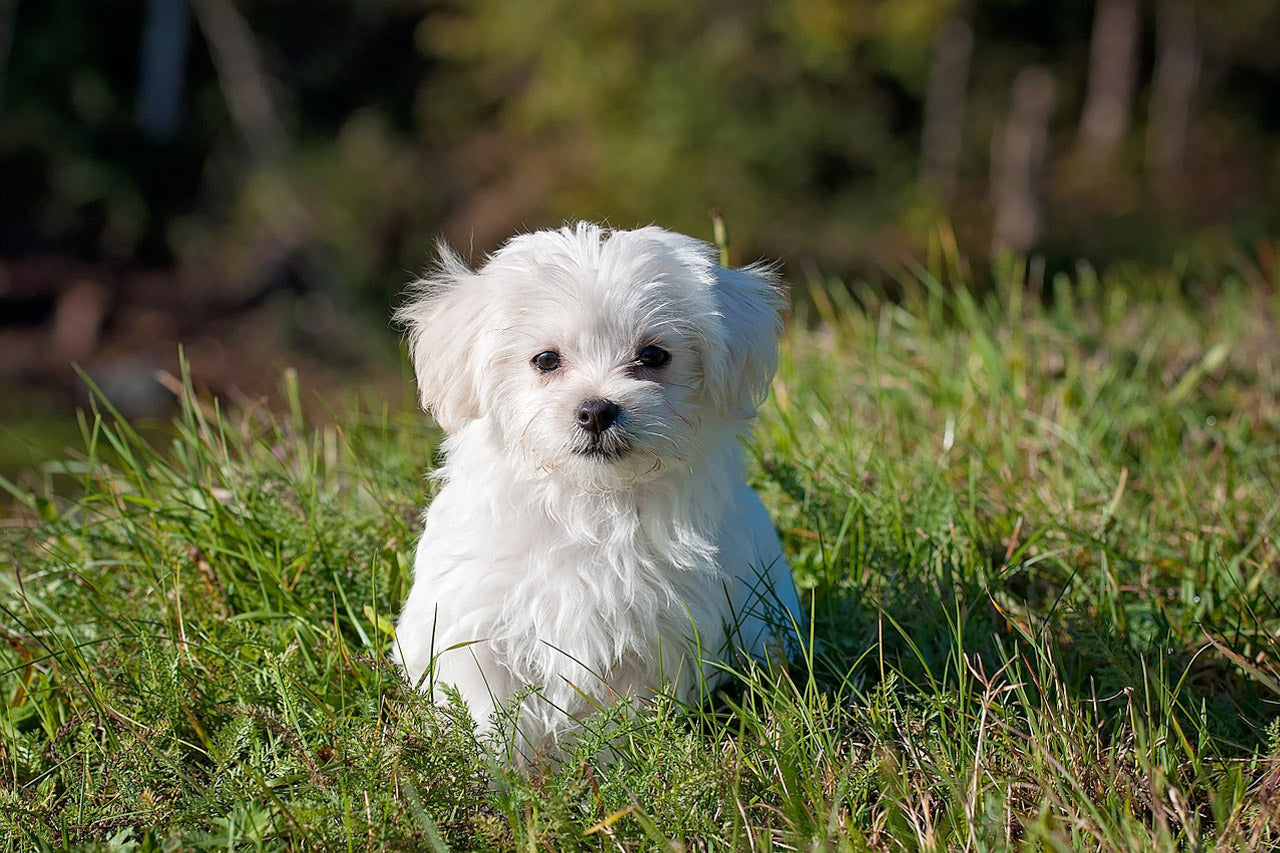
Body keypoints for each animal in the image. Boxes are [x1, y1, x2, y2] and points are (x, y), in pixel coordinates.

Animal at [394, 220, 803, 758]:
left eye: (653, 355)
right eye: (546, 360)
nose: (596, 410)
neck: (590, 502)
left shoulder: (653, 638)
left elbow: (619, 720)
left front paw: (609, 767)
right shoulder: (475, 625)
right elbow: (488, 715)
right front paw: (501, 773)